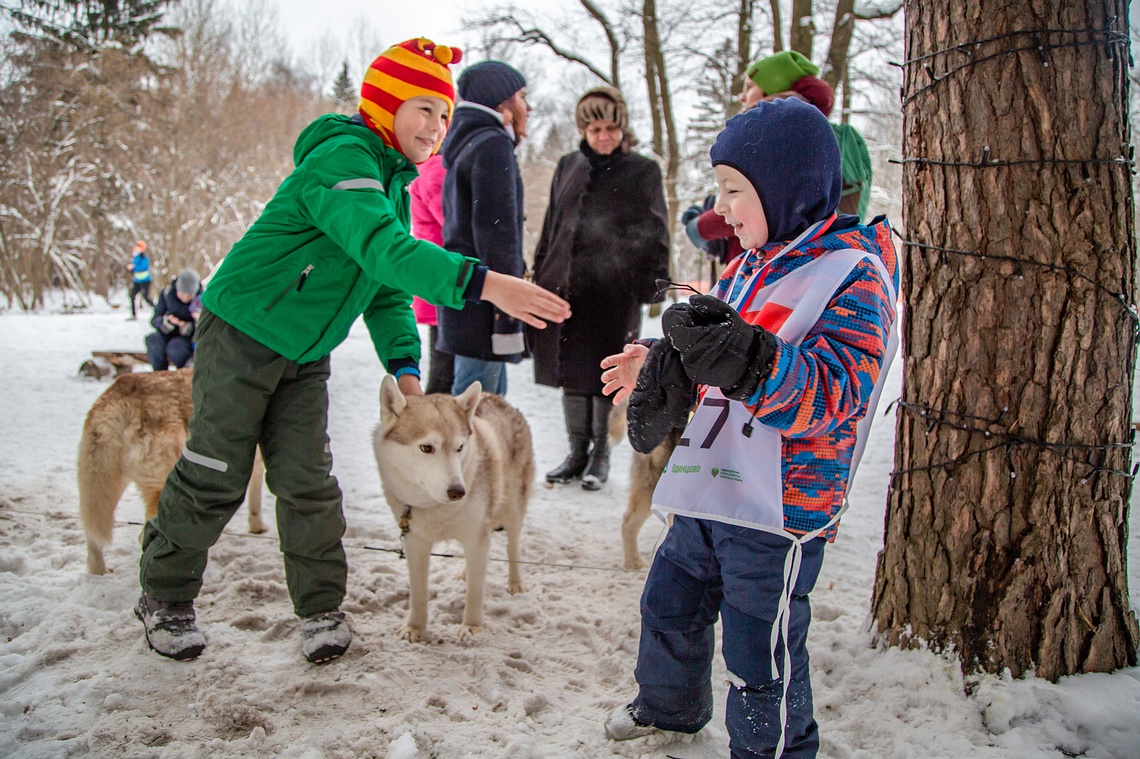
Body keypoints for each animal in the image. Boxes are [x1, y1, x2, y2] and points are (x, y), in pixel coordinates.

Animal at [76, 366, 265, 574]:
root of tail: (123, 388)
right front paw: (258, 528)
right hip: (164, 489)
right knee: (146, 537)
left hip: (104, 491)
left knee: (92, 538)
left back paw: (99, 574)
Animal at [373, 376, 533, 642]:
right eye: (427, 448)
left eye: (459, 448)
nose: (458, 492)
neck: (434, 505)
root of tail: (499, 398)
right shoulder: (415, 542)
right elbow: (418, 593)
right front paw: (415, 628)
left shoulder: (476, 537)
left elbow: (475, 593)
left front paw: (472, 627)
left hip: (512, 510)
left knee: (513, 547)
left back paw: (515, 583)